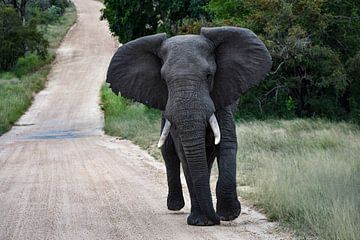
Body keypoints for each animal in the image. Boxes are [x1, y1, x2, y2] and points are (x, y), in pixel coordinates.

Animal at [105, 27, 272, 226]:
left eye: (209, 76)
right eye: (164, 80)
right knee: (169, 153)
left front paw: (228, 215)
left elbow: (226, 145)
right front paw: (201, 222)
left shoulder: (222, 98)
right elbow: (184, 154)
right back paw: (175, 205)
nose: (216, 219)